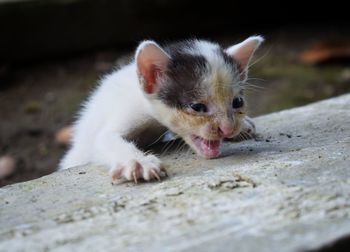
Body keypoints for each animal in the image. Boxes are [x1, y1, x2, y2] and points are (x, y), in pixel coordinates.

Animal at [58, 35, 264, 182]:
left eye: (237, 102)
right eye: (197, 107)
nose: (228, 128)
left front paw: (243, 125)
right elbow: (104, 139)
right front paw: (137, 162)